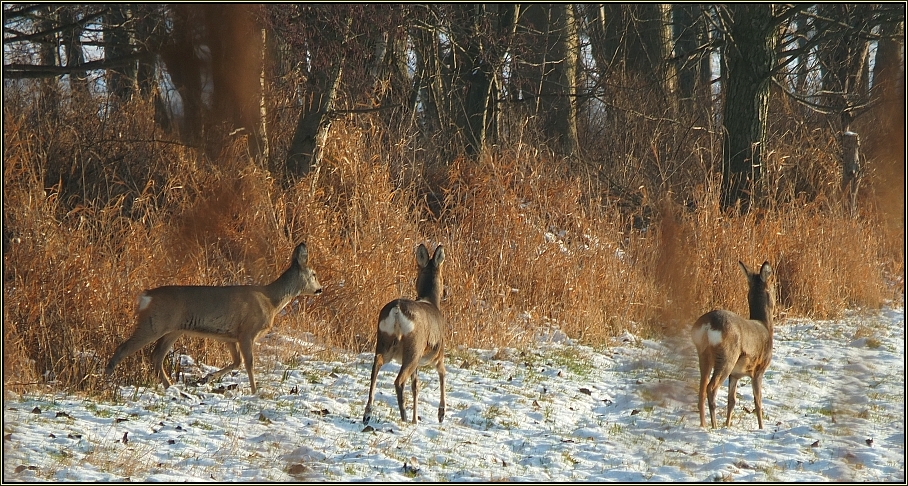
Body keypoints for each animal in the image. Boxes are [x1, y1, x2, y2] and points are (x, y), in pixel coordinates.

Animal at [105, 243, 322, 394]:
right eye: (314, 274)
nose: (320, 289)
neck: (272, 300)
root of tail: (146, 296)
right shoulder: (247, 331)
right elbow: (249, 363)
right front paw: (255, 391)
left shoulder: (230, 336)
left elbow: (236, 362)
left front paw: (204, 379)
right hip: (154, 323)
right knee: (124, 348)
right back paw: (105, 380)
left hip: (173, 330)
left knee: (156, 356)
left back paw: (171, 387)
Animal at [362, 245, 446, 424]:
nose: (445, 292)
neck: (431, 302)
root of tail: (396, 309)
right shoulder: (437, 353)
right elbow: (442, 373)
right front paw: (441, 414)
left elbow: (416, 386)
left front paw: (416, 419)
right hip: (414, 348)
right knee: (399, 381)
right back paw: (404, 416)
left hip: (384, 341)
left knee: (375, 367)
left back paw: (368, 413)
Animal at [692, 262, 776, 430]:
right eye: (773, 286)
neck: (765, 326)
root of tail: (707, 325)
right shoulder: (759, 369)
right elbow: (758, 402)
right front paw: (761, 428)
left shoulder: (735, 374)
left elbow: (732, 400)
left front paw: (728, 425)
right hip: (727, 356)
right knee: (711, 388)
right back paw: (714, 425)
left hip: (704, 355)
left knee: (701, 389)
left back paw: (703, 425)